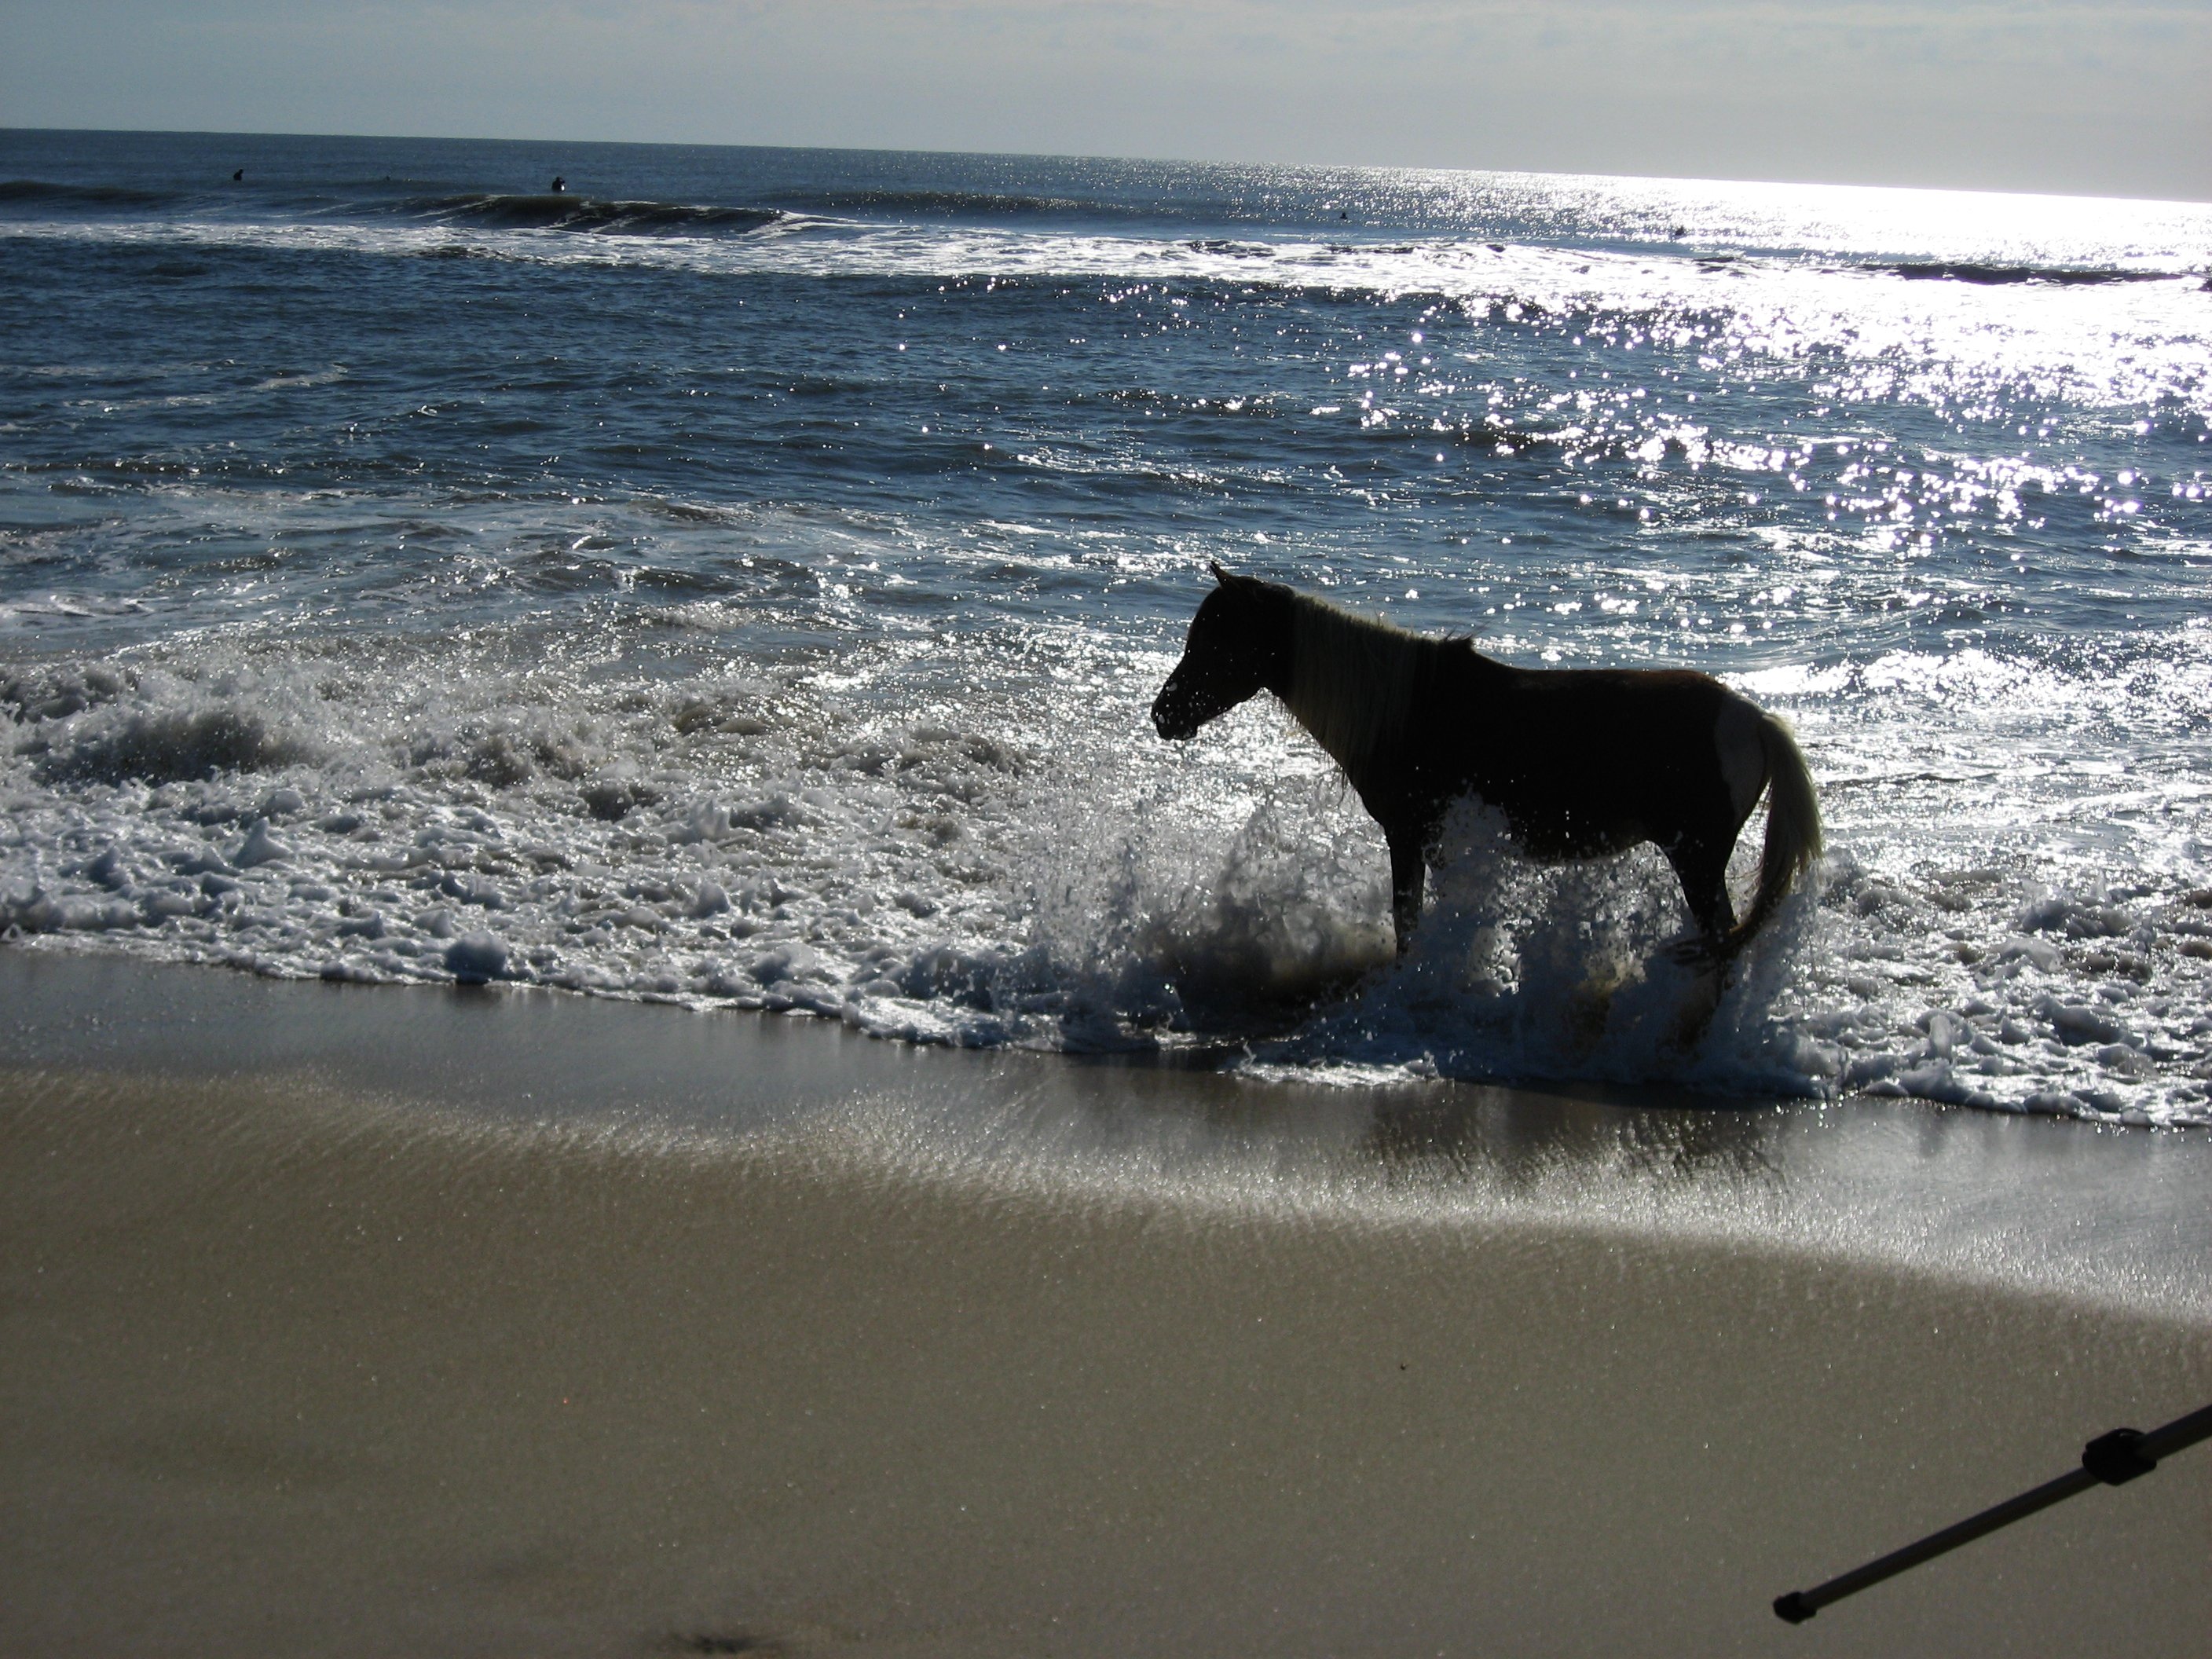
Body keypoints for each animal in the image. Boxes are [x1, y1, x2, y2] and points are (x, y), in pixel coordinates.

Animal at [1150, 570, 1822, 969]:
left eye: (1218, 640)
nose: (1163, 715)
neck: (1407, 709)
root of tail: (1752, 719)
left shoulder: (1409, 836)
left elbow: (1408, 920)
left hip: (1697, 859)